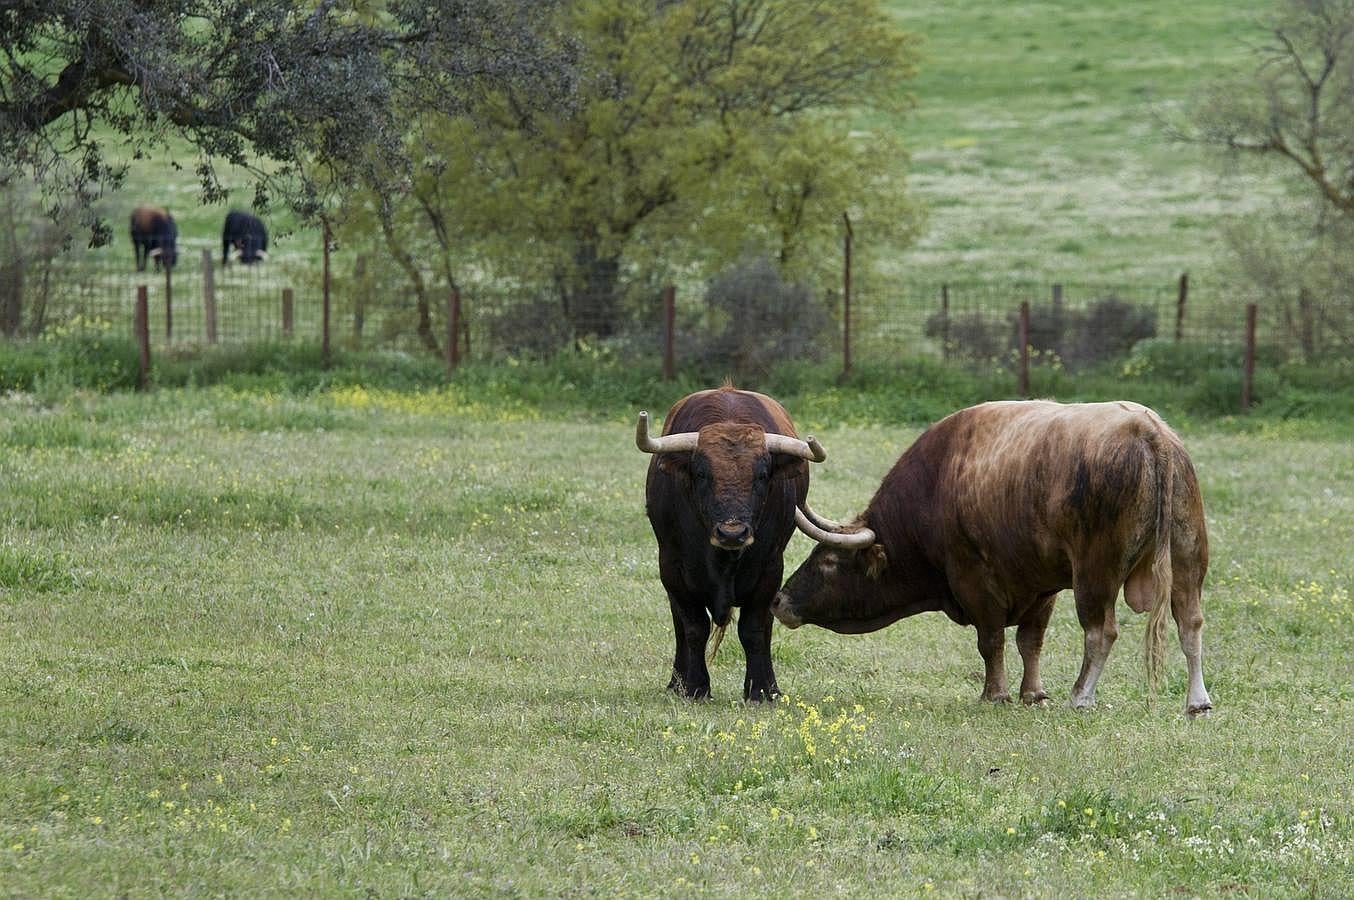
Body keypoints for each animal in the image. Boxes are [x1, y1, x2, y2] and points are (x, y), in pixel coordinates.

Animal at [633, 387, 834, 703]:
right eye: (701, 474)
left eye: (761, 475)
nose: (732, 533)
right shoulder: (672, 568)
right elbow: (693, 628)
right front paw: (695, 687)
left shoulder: (770, 568)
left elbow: (754, 629)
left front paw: (761, 691)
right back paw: (676, 683)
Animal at [774, 400, 1218, 714]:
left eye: (828, 561)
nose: (779, 600)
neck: (938, 482)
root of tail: (1149, 432)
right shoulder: (1043, 586)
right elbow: (1029, 641)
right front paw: (1032, 693)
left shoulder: (975, 579)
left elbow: (991, 641)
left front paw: (996, 693)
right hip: (1188, 557)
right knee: (1190, 623)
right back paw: (1197, 701)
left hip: (1095, 572)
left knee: (1101, 631)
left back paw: (1081, 695)